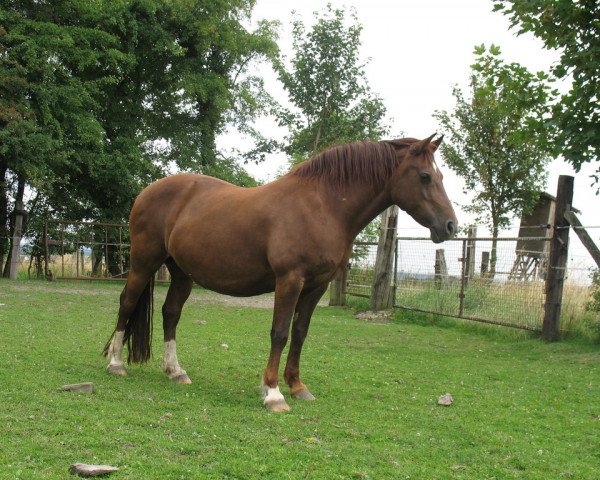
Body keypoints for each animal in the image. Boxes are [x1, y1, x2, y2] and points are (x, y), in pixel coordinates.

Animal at [103, 134, 458, 412]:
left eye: (440, 177)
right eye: (425, 176)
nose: (450, 226)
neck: (322, 206)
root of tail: (148, 191)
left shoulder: (317, 286)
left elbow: (300, 333)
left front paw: (298, 387)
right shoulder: (290, 280)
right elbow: (280, 332)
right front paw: (273, 393)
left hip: (182, 274)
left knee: (171, 313)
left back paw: (174, 371)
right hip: (144, 262)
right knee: (127, 302)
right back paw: (115, 363)